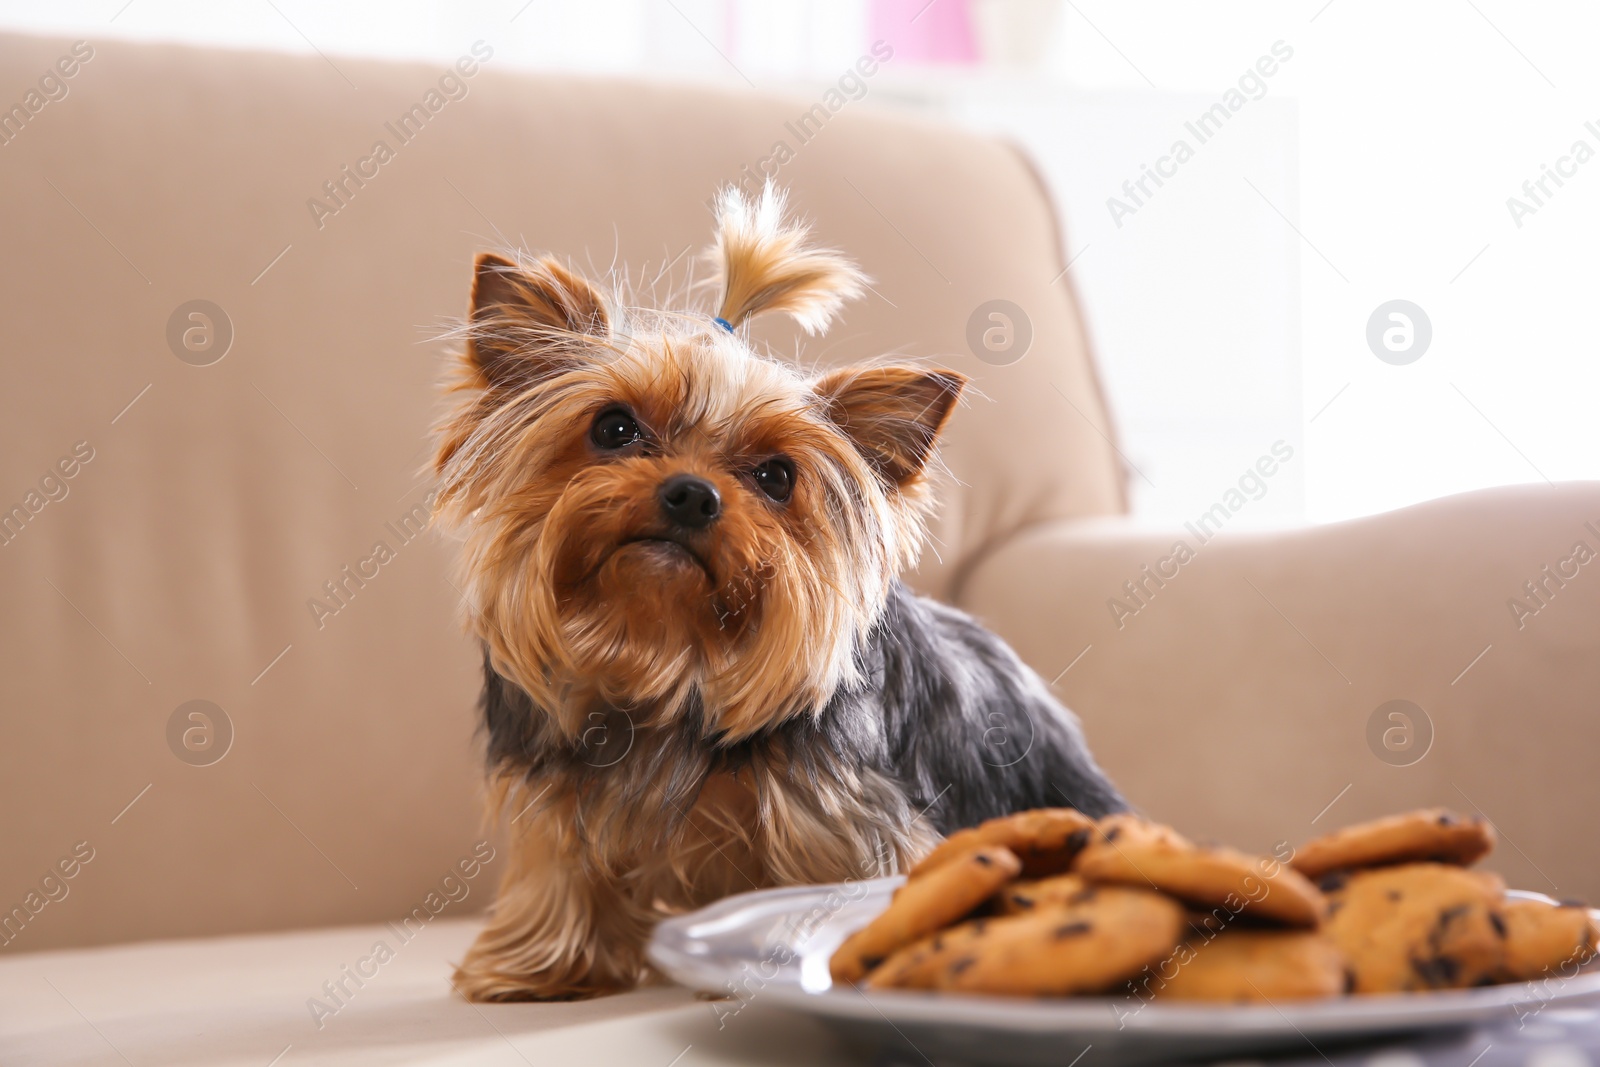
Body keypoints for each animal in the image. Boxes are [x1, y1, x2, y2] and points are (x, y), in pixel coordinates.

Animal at [432, 181, 1120, 1004]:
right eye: (614, 427)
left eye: (775, 476)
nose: (691, 494)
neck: (667, 651)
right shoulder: (556, 786)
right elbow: (560, 863)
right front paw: (538, 965)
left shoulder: (841, 814)